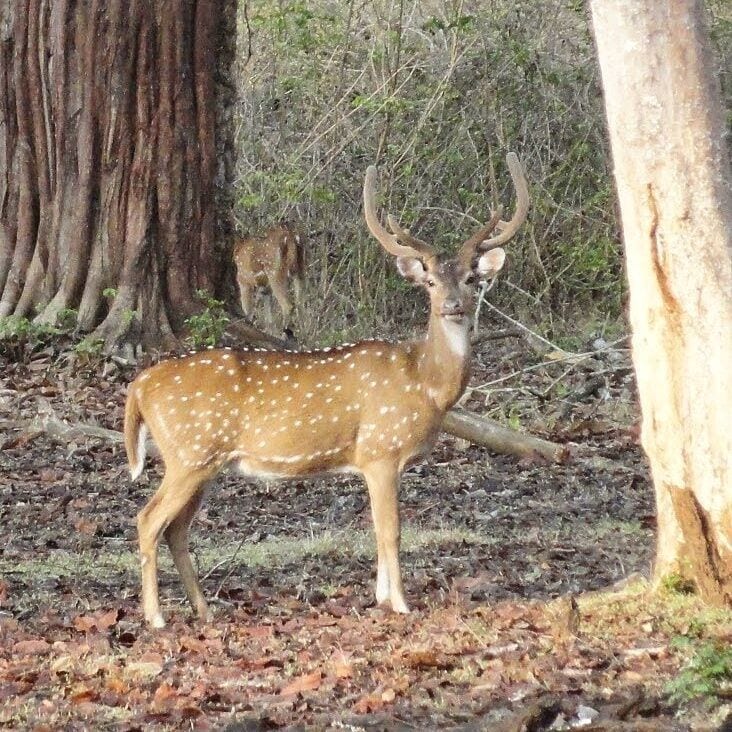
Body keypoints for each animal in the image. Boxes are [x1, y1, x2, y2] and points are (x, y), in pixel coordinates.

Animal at [124, 153, 529, 628]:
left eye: (470, 279)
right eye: (429, 281)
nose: (452, 307)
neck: (426, 385)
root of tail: (139, 386)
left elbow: (375, 528)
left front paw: (380, 595)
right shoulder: (380, 450)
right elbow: (390, 529)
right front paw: (400, 602)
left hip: (201, 461)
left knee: (176, 529)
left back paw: (204, 610)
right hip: (189, 453)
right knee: (148, 519)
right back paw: (155, 617)